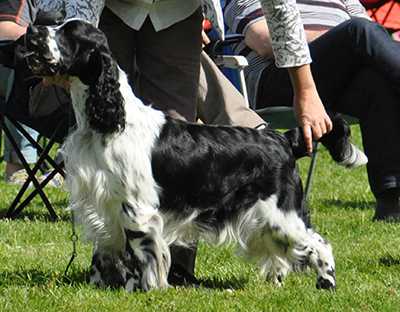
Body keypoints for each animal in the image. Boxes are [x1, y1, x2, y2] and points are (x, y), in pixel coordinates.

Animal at [25, 19, 336, 292]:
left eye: (70, 33)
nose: (32, 30)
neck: (108, 123)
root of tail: (283, 139)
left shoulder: (136, 208)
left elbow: (139, 253)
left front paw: (139, 288)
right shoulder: (102, 202)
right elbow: (105, 252)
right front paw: (98, 286)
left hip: (281, 213)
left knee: (319, 244)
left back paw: (327, 282)